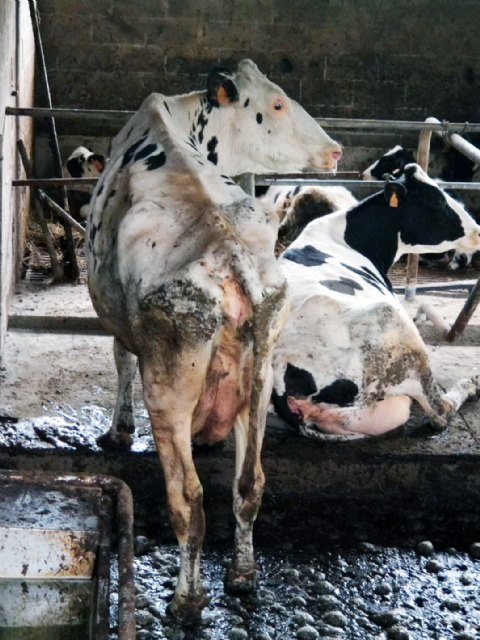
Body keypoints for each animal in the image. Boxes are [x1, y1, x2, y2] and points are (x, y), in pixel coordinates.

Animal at [87, 59, 342, 623]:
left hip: (169, 383)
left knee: (189, 498)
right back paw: (243, 576)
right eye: (276, 103)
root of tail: (230, 252)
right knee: (250, 484)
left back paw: (186, 601)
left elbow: (119, 357)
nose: (336, 150)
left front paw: (118, 432)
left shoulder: (115, 314)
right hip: (261, 372)